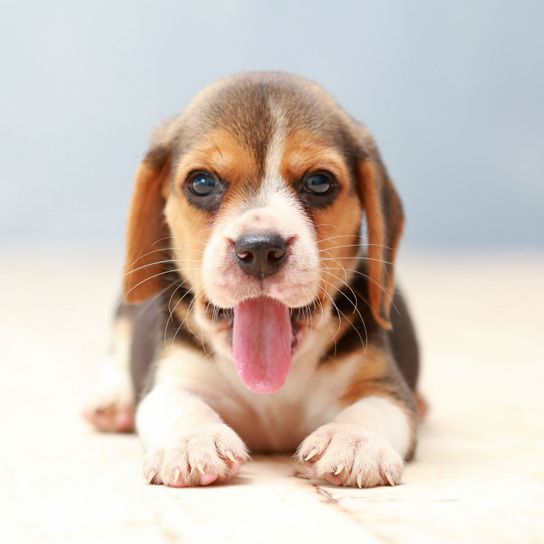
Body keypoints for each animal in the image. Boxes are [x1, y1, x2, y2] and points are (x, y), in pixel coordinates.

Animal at [85, 71, 420, 488]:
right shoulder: (173, 374)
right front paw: (193, 440)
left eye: (319, 182)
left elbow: (374, 409)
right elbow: (180, 404)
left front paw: (354, 440)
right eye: (201, 183)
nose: (260, 249)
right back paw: (112, 400)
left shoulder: (384, 384)